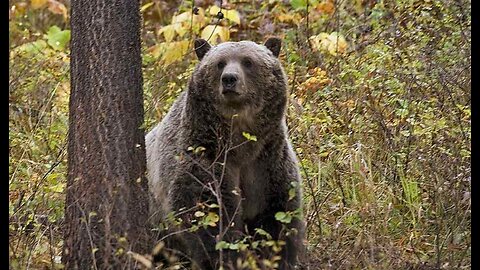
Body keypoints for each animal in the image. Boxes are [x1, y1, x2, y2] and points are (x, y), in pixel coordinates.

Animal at [145, 38, 304, 270]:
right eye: (220, 63)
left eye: (248, 61)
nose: (229, 79)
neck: (240, 143)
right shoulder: (204, 157)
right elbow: (209, 216)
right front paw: (226, 258)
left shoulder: (268, 162)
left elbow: (278, 218)